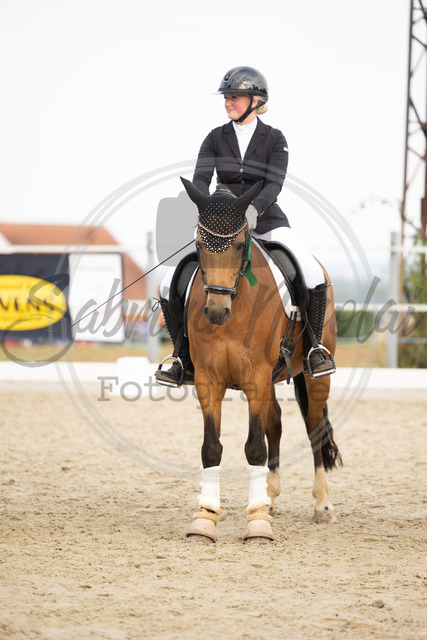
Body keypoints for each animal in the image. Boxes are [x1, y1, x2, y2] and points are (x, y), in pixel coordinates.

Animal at [180, 177, 342, 543]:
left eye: (240, 244)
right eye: (199, 244)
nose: (216, 311)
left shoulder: (256, 377)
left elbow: (254, 447)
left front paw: (257, 525)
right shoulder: (208, 380)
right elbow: (211, 448)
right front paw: (205, 519)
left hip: (314, 376)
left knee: (315, 428)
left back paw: (323, 505)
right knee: (276, 422)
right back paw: (270, 498)